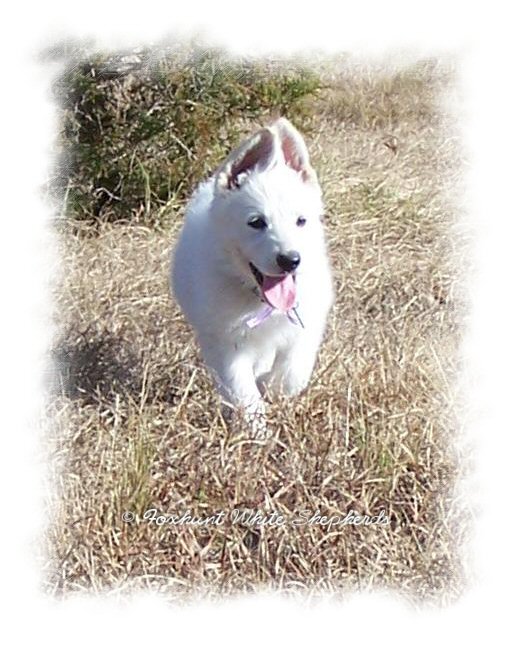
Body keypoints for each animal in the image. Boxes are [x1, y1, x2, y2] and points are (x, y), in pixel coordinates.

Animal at [171, 118, 333, 431]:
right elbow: (242, 390)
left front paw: (276, 390)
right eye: (256, 222)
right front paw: (257, 431)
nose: (290, 261)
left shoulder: (307, 323)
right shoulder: (225, 342)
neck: (259, 299)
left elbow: (293, 371)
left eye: (301, 221)